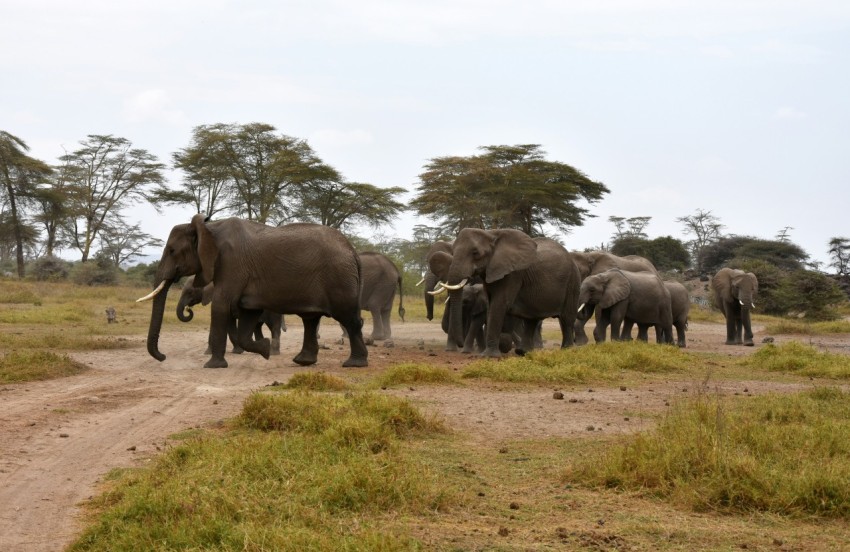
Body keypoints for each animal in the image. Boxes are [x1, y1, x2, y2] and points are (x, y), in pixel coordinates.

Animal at [137, 215, 368, 368]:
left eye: (172, 251)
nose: (163, 357)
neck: (209, 227)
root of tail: (353, 252)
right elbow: (247, 314)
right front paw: (264, 350)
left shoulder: (231, 263)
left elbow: (221, 306)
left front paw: (213, 365)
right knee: (310, 320)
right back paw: (303, 361)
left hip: (339, 279)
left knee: (349, 319)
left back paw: (355, 363)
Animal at [438, 228, 581, 357]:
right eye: (452, 251)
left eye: (475, 252)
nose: (460, 345)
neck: (491, 234)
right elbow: (491, 305)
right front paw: (486, 354)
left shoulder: (513, 273)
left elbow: (500, 304)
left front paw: (488, 356)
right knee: (531, 319)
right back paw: (523, 352)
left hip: (573, 282)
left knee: (566, 318)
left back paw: (567, 350)